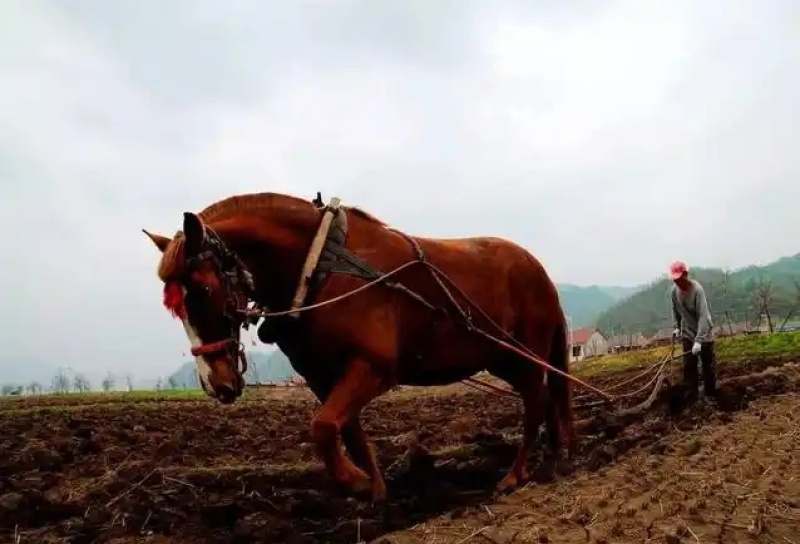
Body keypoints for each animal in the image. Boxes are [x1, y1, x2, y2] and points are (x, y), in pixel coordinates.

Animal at [143, 191, 575, 502]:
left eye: (202, 290)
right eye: (175, 305)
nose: (215, 383)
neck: (320, 269)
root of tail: (538, 269)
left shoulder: (373, 367)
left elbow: (322, 428)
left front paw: (356, 482)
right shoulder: (322, 377)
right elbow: (346, 431)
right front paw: (375, 491)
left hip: (526, 353)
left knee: (536, 401)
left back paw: (517, 474)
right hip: (503, 357)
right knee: (547, 400)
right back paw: (554, 459)